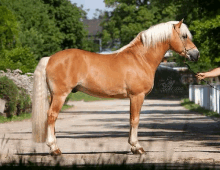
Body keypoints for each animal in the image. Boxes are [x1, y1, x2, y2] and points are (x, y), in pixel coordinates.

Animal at [32, 19, 199, 155]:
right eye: (184, 36)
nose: (196, 55)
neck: (140, 58)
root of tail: (50, 58)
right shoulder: (137, 96)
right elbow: (135, 120)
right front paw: (137, 147)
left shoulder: (132, 98)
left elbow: (131, 119)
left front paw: (133, 147)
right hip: (60, 95)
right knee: (52, 116)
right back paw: (54, 149)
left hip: (54, 95)